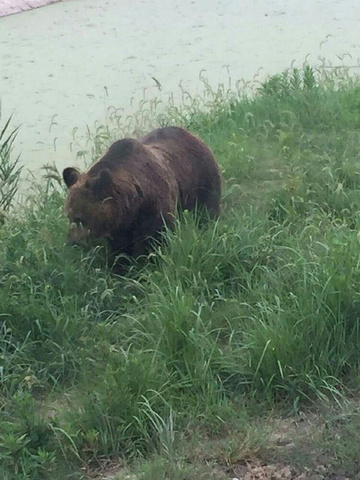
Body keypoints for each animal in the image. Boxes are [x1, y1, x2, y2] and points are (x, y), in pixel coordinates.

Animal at [63, 127, 221, 260]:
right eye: (69, 216)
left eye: (79, 218)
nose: (71, 241)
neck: (133, 203)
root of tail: (192, 134)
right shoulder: (120, 226)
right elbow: (120, 249)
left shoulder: (154, 209)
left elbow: (155, 240)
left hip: (202, 178)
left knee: (208, 208)